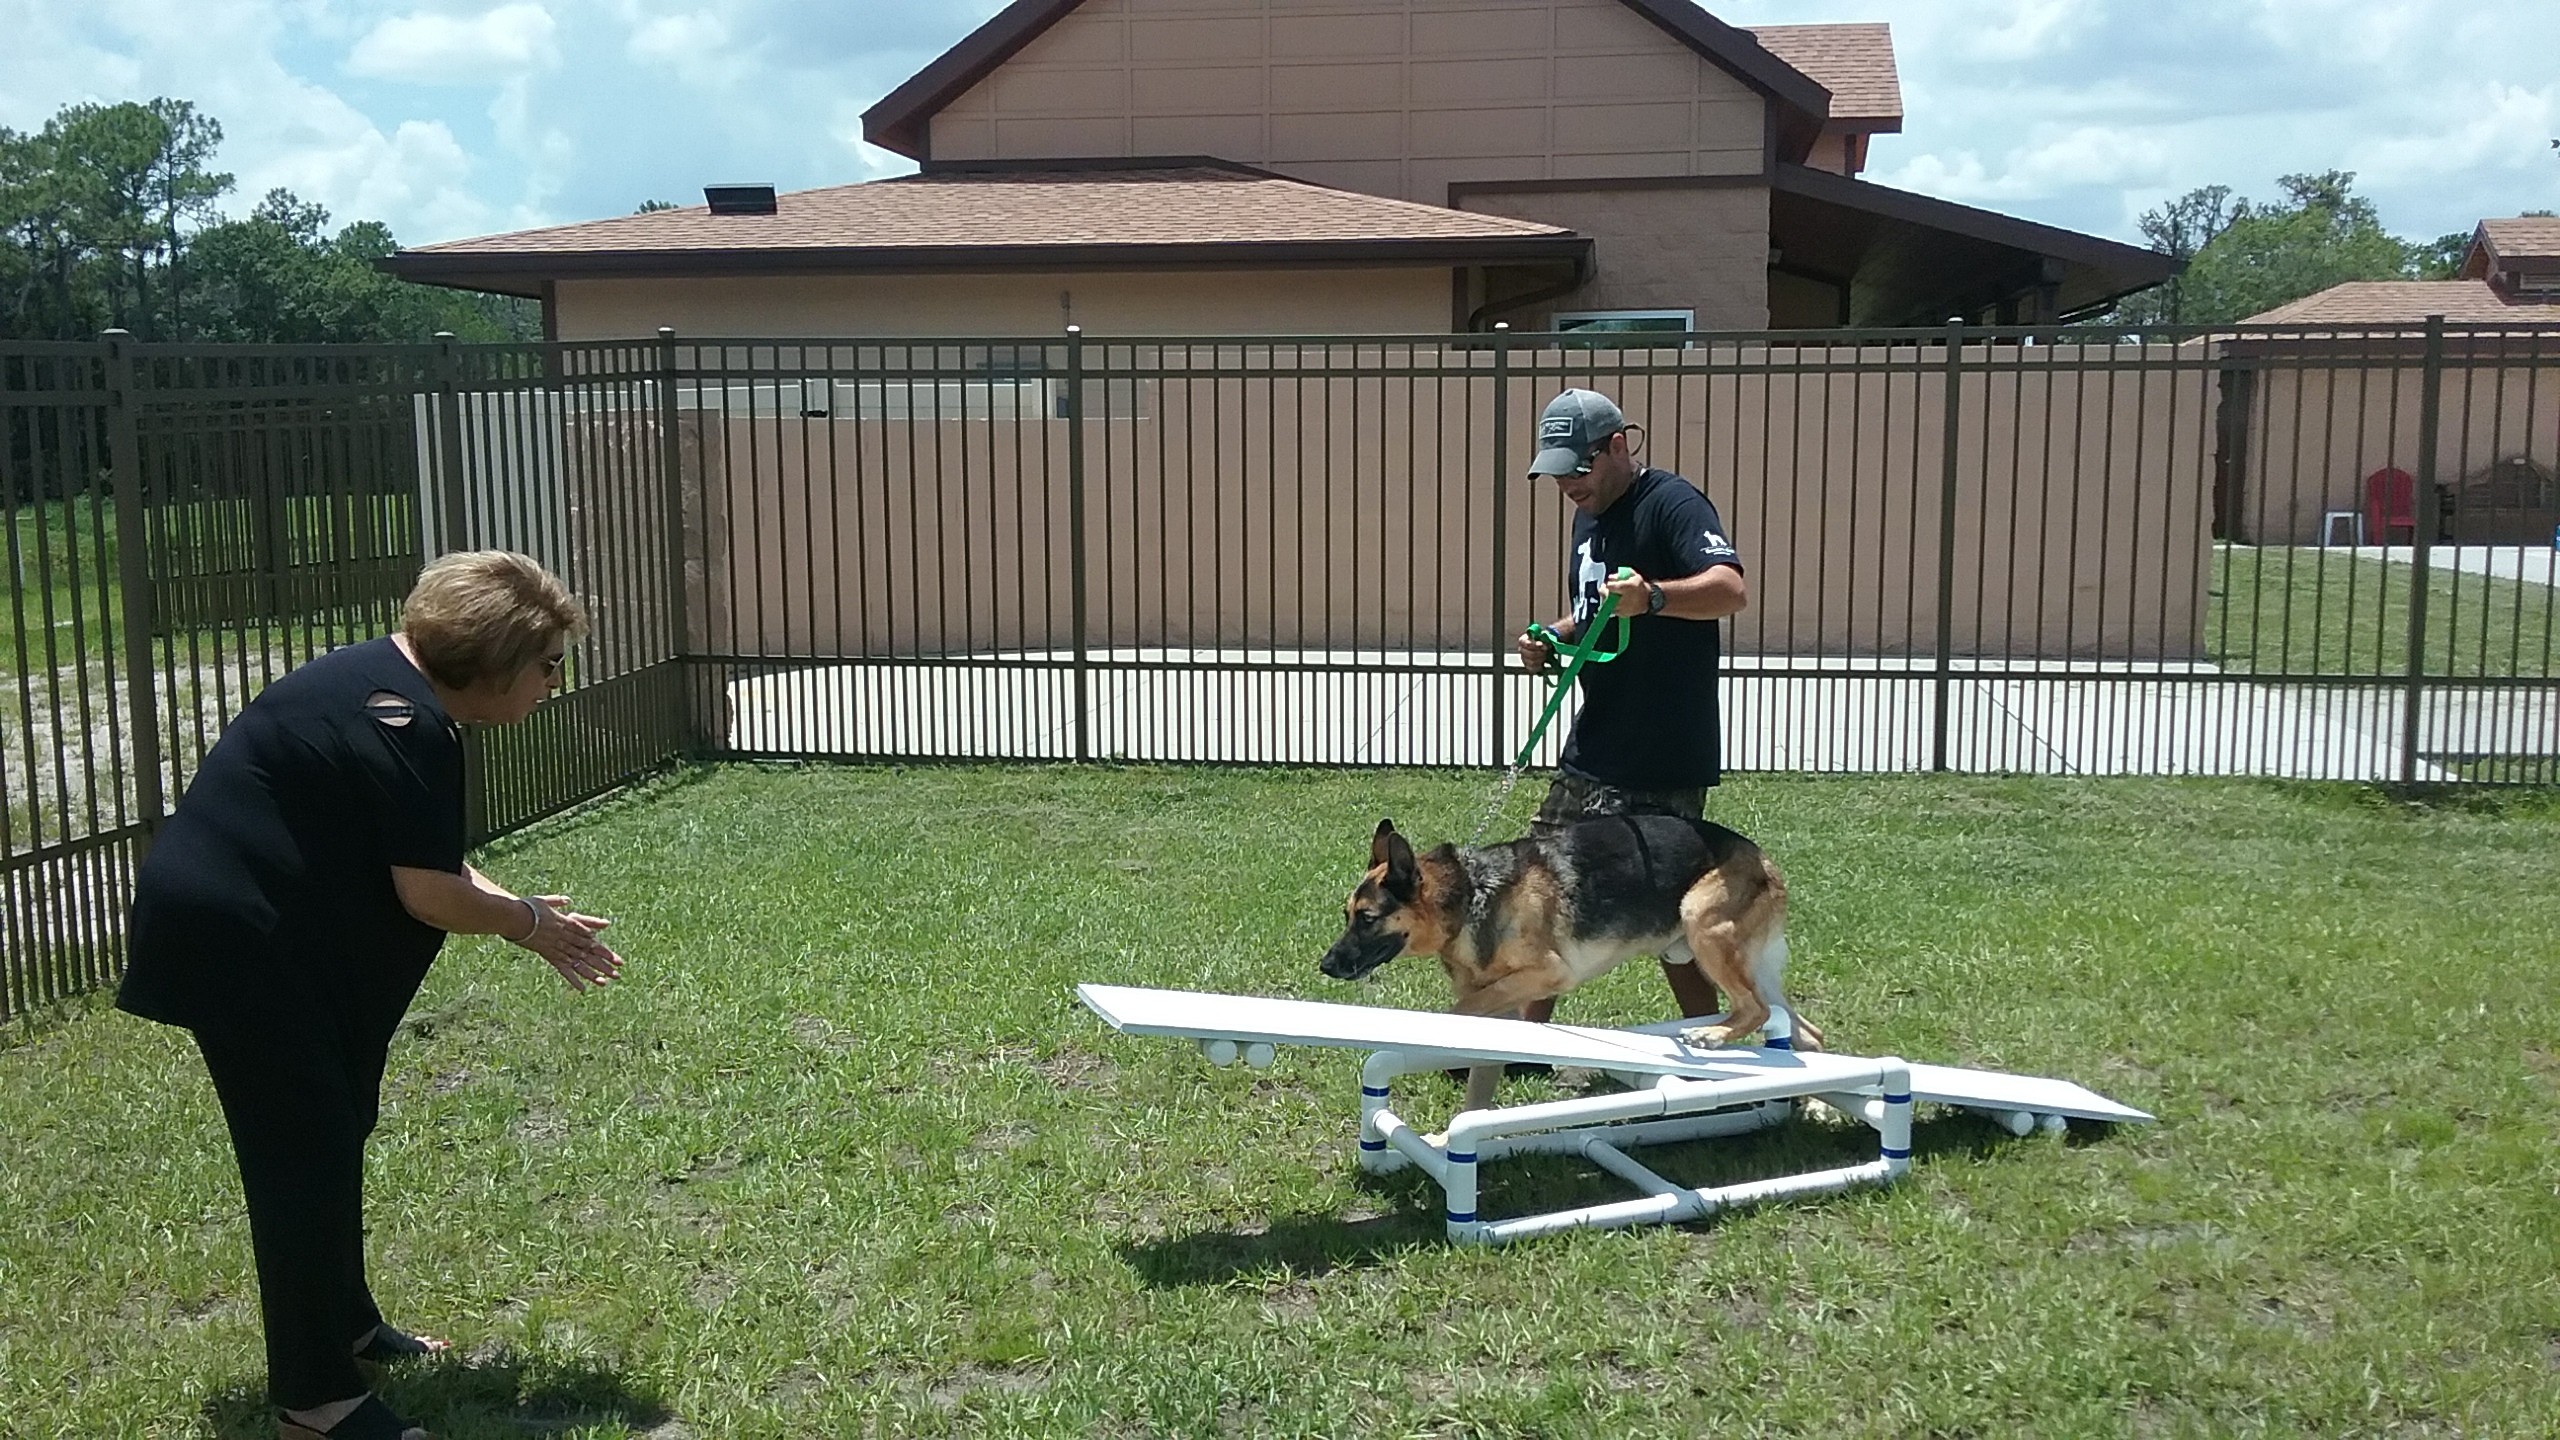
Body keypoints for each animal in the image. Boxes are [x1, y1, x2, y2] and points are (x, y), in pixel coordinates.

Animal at [1318, 815, 1818, 1110]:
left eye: (1366, 918)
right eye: (1346, 916)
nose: (1325, 965)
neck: (1471, 896)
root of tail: (1765, 860)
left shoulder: (1547, 973)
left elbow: (1462, 1008)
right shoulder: (1500, 1009)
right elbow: (1478, 1080)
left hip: (1701, 923)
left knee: (1755, 1009)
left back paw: (1711, 1034)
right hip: (1742, 961)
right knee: (1805, 1032)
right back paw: (1813, 1100)